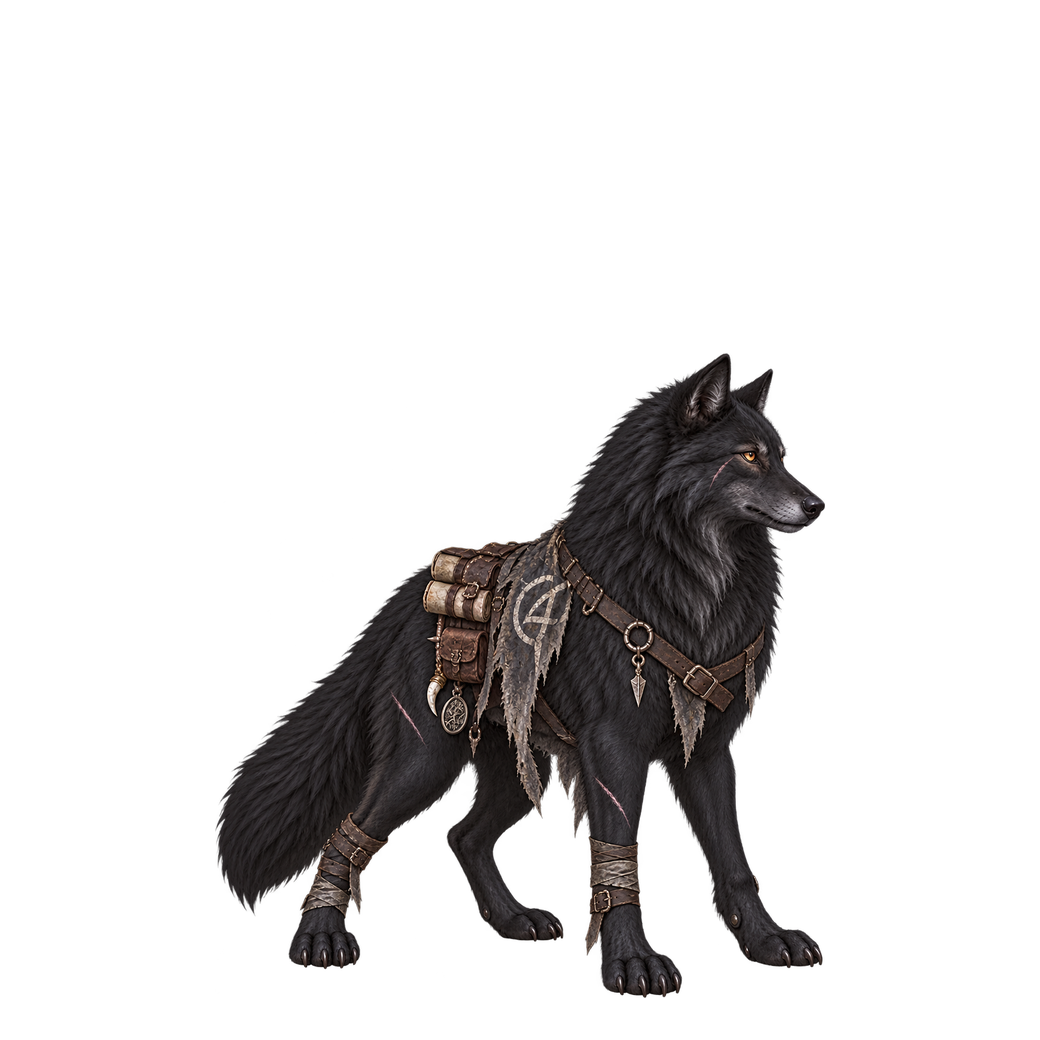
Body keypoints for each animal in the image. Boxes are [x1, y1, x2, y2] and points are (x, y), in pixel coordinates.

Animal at [216, 355, 825, 995]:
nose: (816, 505)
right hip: (423, 760)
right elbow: (617, 854)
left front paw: (767, 940)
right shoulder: (615, 746)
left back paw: (511, 920)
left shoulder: (705, 752)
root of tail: (401, 601)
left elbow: (732, 859)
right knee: (350, 831)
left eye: (782, 454)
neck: (689, 580)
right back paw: (320, 937)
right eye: (748, 456)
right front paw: (632, 962)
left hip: (513, 770)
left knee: (463, 835)